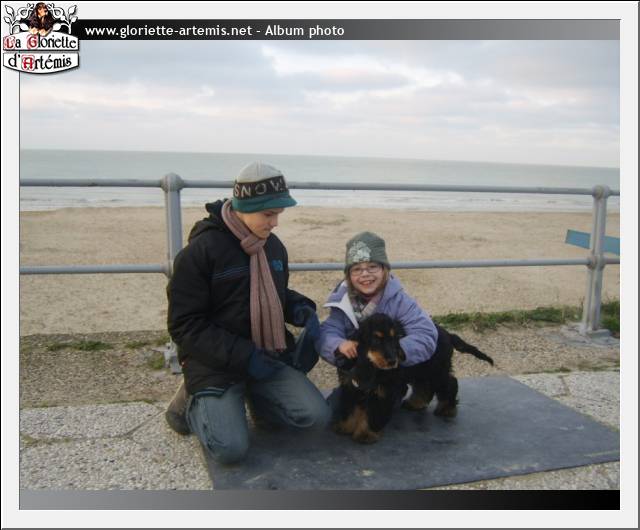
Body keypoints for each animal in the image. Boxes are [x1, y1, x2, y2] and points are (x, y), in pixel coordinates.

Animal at [332, 313, 494, 444]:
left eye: (395, 338)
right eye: (376, 339)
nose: (393, 361)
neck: (370, 364)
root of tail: (448, 334)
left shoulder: (383, 391)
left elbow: (373, 414)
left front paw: (366, 434)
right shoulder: (352, 387)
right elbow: (350, 408)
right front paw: (346, 427)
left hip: (436, 370)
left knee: (450, 383)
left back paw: (447, 409)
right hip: (423, 371)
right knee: (425, 387)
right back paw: (415, 403)